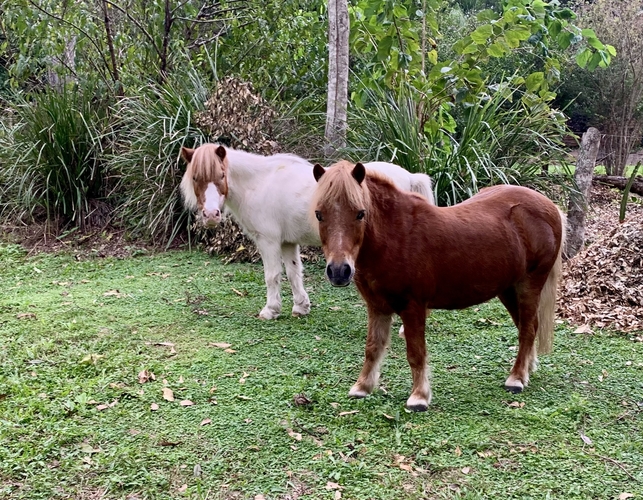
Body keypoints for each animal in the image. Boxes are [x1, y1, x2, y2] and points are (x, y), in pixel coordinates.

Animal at [179, 143, 435, 319]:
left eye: (221, 175)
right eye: (196, 177)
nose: (211, 215)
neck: (260, 183)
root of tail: (409, 177)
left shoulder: (268, 242)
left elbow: (272, 275)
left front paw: (270, 310)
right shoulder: (287, 243)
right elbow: (294, 273)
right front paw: (301, 307)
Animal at [311, 160, 565, 412]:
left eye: (360, 213)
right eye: (319, 214)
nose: (339, 271)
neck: (397, 236)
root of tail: (550, 207)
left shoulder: (413, 307)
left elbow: (416, 353)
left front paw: (419, 397)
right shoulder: (377, 307)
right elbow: (373, 347)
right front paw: (362, 387)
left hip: (529, 284)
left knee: (527, 330)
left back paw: (516, 378)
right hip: (508, 289)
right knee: (528, 326)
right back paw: (527, 370)